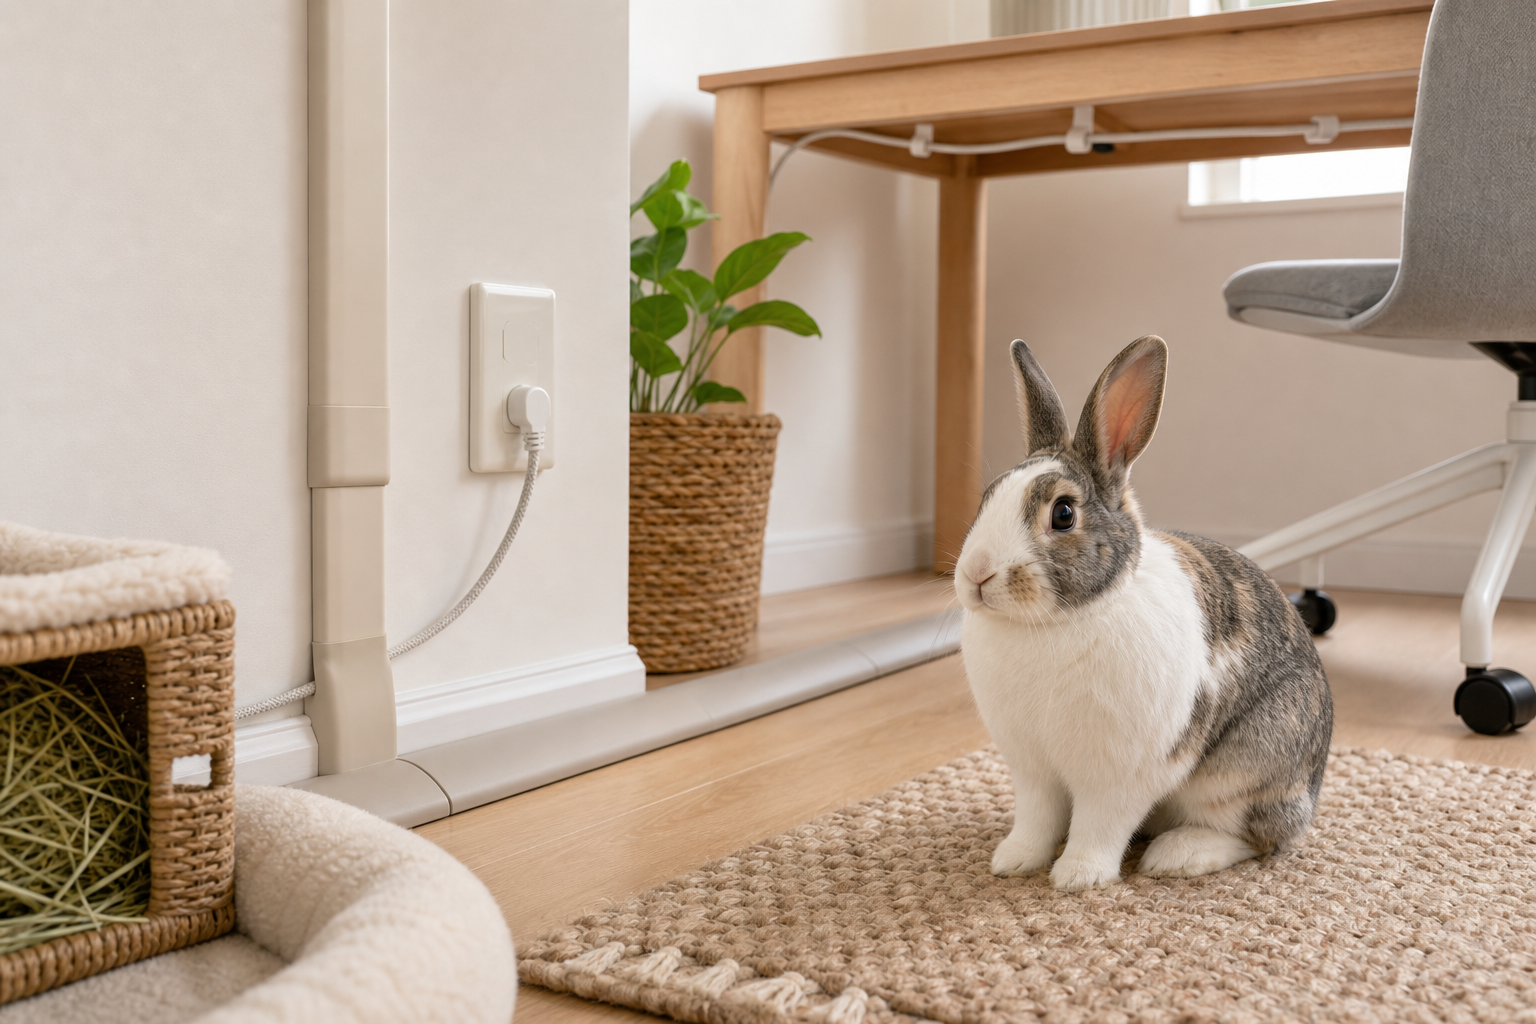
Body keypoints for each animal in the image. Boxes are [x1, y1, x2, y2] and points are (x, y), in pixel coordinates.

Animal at [955, 335, 1332, 892]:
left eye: (1063, 514)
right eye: (987, 498)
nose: (976, 574)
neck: (1056, 621)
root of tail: (1309, 794)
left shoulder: (1121, 772)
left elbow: (1101, 823)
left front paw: (1079, 876)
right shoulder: (1032, 768)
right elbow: (1037, 818)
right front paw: (1014, 860)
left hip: (1244, 769)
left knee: (1259, 836)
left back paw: (1178, 856)